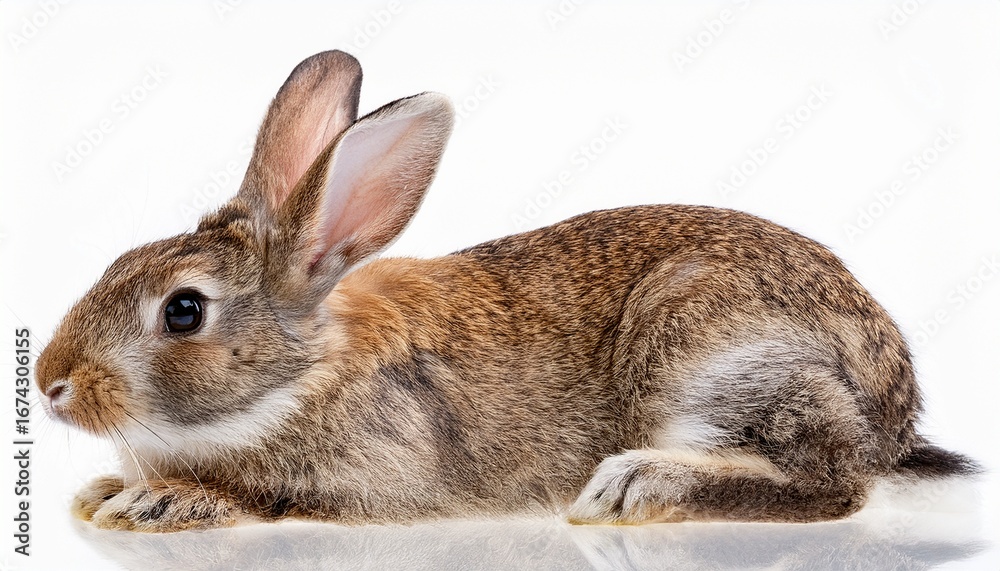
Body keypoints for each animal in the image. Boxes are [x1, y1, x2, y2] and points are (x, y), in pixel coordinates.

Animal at [36, 50, 978, 533]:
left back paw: (639, 488)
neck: (301, 372)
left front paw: (160, 498)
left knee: (833, 483)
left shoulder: (379, 472)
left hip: (702, 356)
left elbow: (279, 495)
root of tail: (894, 406)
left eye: (183, 309)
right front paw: (102, 493)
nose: (49, 383)